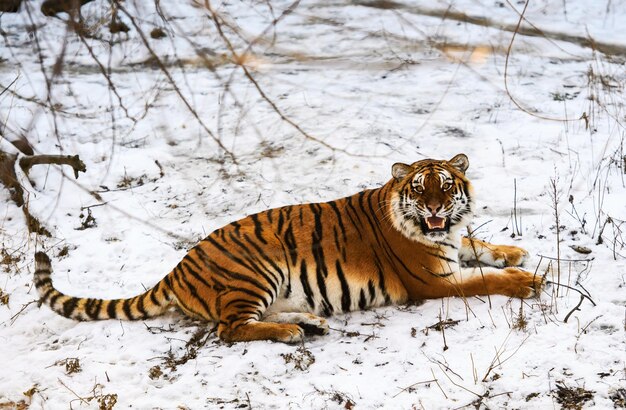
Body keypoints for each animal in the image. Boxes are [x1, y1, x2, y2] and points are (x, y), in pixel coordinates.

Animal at [35, 154, 540, 342]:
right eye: (419, 188)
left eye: (446, 185)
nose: (435, 207)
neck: (436, 231)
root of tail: (178, 267)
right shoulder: (434, 281)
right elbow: (484, 280)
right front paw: (528, 280)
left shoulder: (452, 247)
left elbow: (478, 245)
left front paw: (513, 254)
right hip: (255, 271)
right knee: (230, 329)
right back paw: (290, 333)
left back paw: (309, 322)